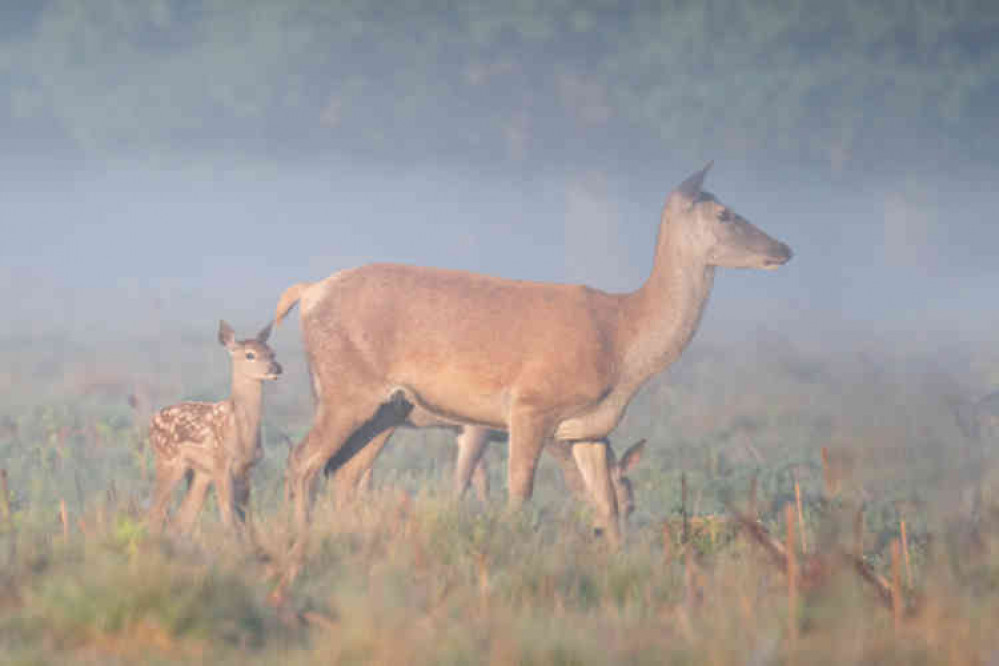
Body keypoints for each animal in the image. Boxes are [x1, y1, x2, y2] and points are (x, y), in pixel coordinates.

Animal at [145, 320, 280, 536]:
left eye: (272, 352)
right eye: (250, 354)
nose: (276, 368)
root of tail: (152, 421)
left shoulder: (246, 467)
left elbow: (244, 519)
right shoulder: (221, 463)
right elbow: (227, 517)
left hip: (200, 472)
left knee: (182, 518)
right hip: (168, 459)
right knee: (156, 511)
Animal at [272, 162, 788, 576]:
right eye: (725, 214)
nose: (785, 248)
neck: (622, 340)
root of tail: (308, 292)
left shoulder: (589, 429)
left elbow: (605, 506)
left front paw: (617, 565)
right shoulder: (529, 406)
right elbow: (519, 494)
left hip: (389, 409)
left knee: (343, 472)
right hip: (345, 389)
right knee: (304, 461)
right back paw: (299, 544)